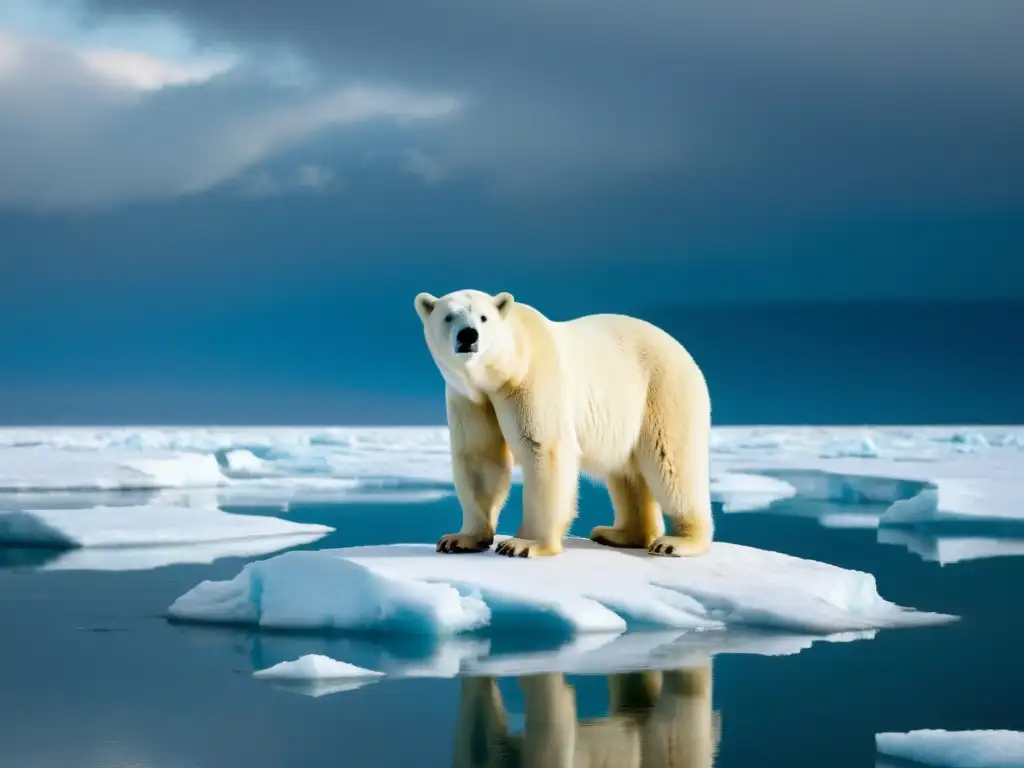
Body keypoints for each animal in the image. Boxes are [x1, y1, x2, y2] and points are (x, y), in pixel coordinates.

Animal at [409, 288, 712, 561]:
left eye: (483, 317)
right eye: (449, 316)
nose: (468, 335)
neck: (506, 367)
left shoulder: (531, 380)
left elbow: (544, 449)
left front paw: (523, 544)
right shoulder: (470, 399)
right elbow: (480, 457)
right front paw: (459, 539)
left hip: (662, 391)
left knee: (670, 464)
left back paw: (677, 541)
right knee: (626, 473)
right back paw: (618, 533)